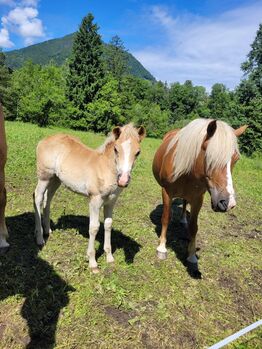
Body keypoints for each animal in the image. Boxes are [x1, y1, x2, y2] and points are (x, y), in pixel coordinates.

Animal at [33, 123, 145, 272]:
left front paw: (109, 257)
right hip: (44, 176)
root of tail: (44, 140)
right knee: (38, 197)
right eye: (116, 149)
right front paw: (93, 262)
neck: (105, 168)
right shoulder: (95, 200)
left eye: (138, 152)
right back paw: (39, 237)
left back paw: (48, 231)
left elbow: (108, 225)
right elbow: (94, 227)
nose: (123, 180)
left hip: (56, 179)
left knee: (48, 198)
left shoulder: (111, 202)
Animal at [152, 118, 247, 274]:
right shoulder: (166, 192)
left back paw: (183, 219)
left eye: (236, 159)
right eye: (210, 157)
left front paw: (192, 257)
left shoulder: (198, 199)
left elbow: (194, 227)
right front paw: (161, 248)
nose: (228, 203)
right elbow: (166, 218)